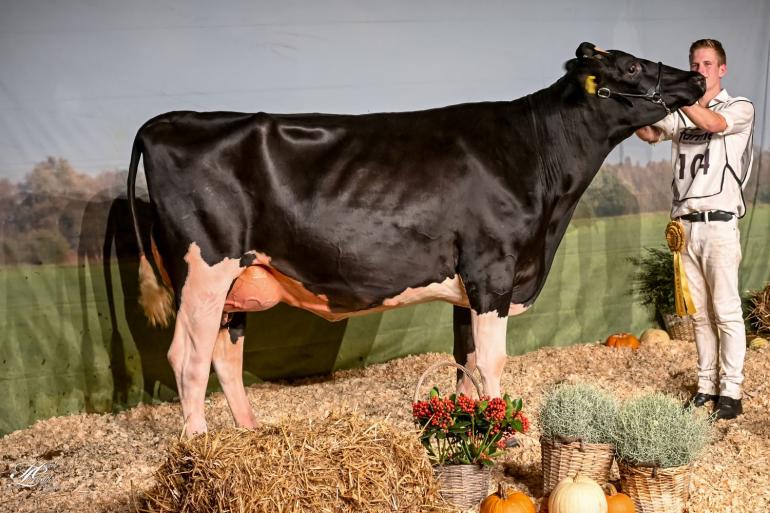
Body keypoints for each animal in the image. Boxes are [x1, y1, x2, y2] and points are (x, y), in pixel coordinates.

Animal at [129, 43, 704, 432]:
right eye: (631, 66)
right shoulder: (492, 271)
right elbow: (491, 362)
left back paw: (249, 435)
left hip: (238, 279)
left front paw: (476, 430)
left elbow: (465, 365)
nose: (697, 78)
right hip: (204, 270)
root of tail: (165, 122)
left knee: (224, 357)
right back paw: (198, 446)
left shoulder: (469, 287)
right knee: (188, 359)